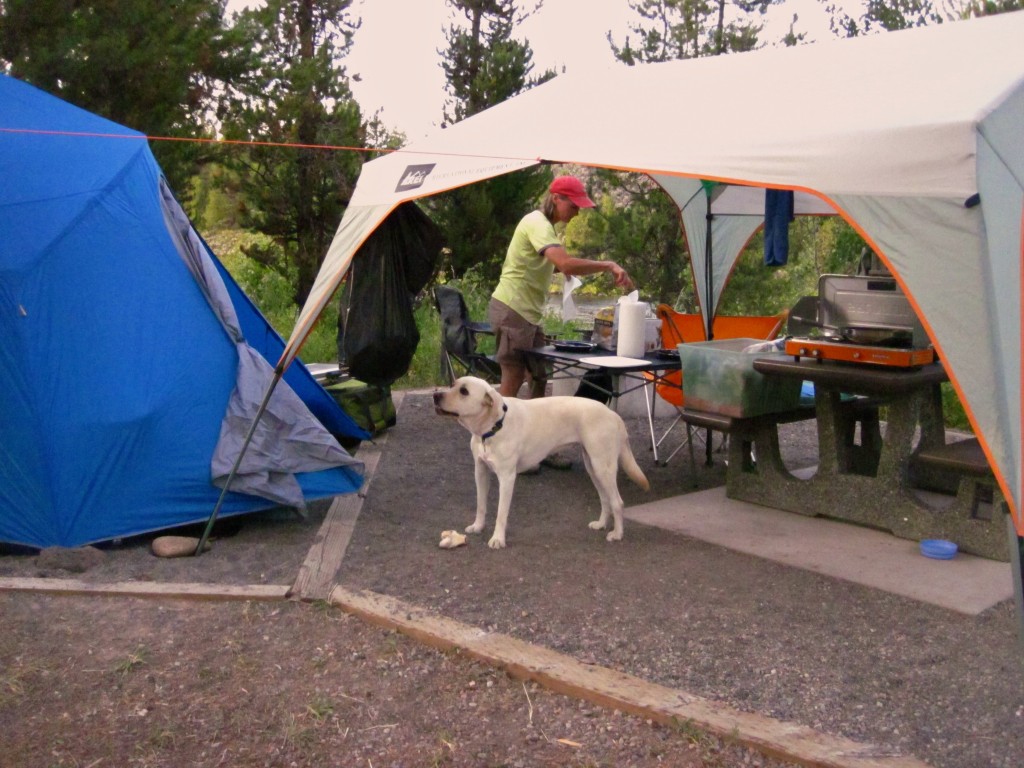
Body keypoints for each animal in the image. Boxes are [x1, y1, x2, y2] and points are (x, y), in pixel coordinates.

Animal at [432, 376, 647, 548]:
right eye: (453, 384)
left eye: (464, 391)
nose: (435, 395)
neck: (493, 427)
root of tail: (614, 415)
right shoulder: (480, 471)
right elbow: (481, 505)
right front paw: (478, 526)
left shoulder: (507, 478)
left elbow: (501, 513)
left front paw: (498, 539)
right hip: (593, 467)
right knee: (605, 499)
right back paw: (601, 524)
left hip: (603, 467)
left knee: (617, 501)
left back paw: (617, 534)